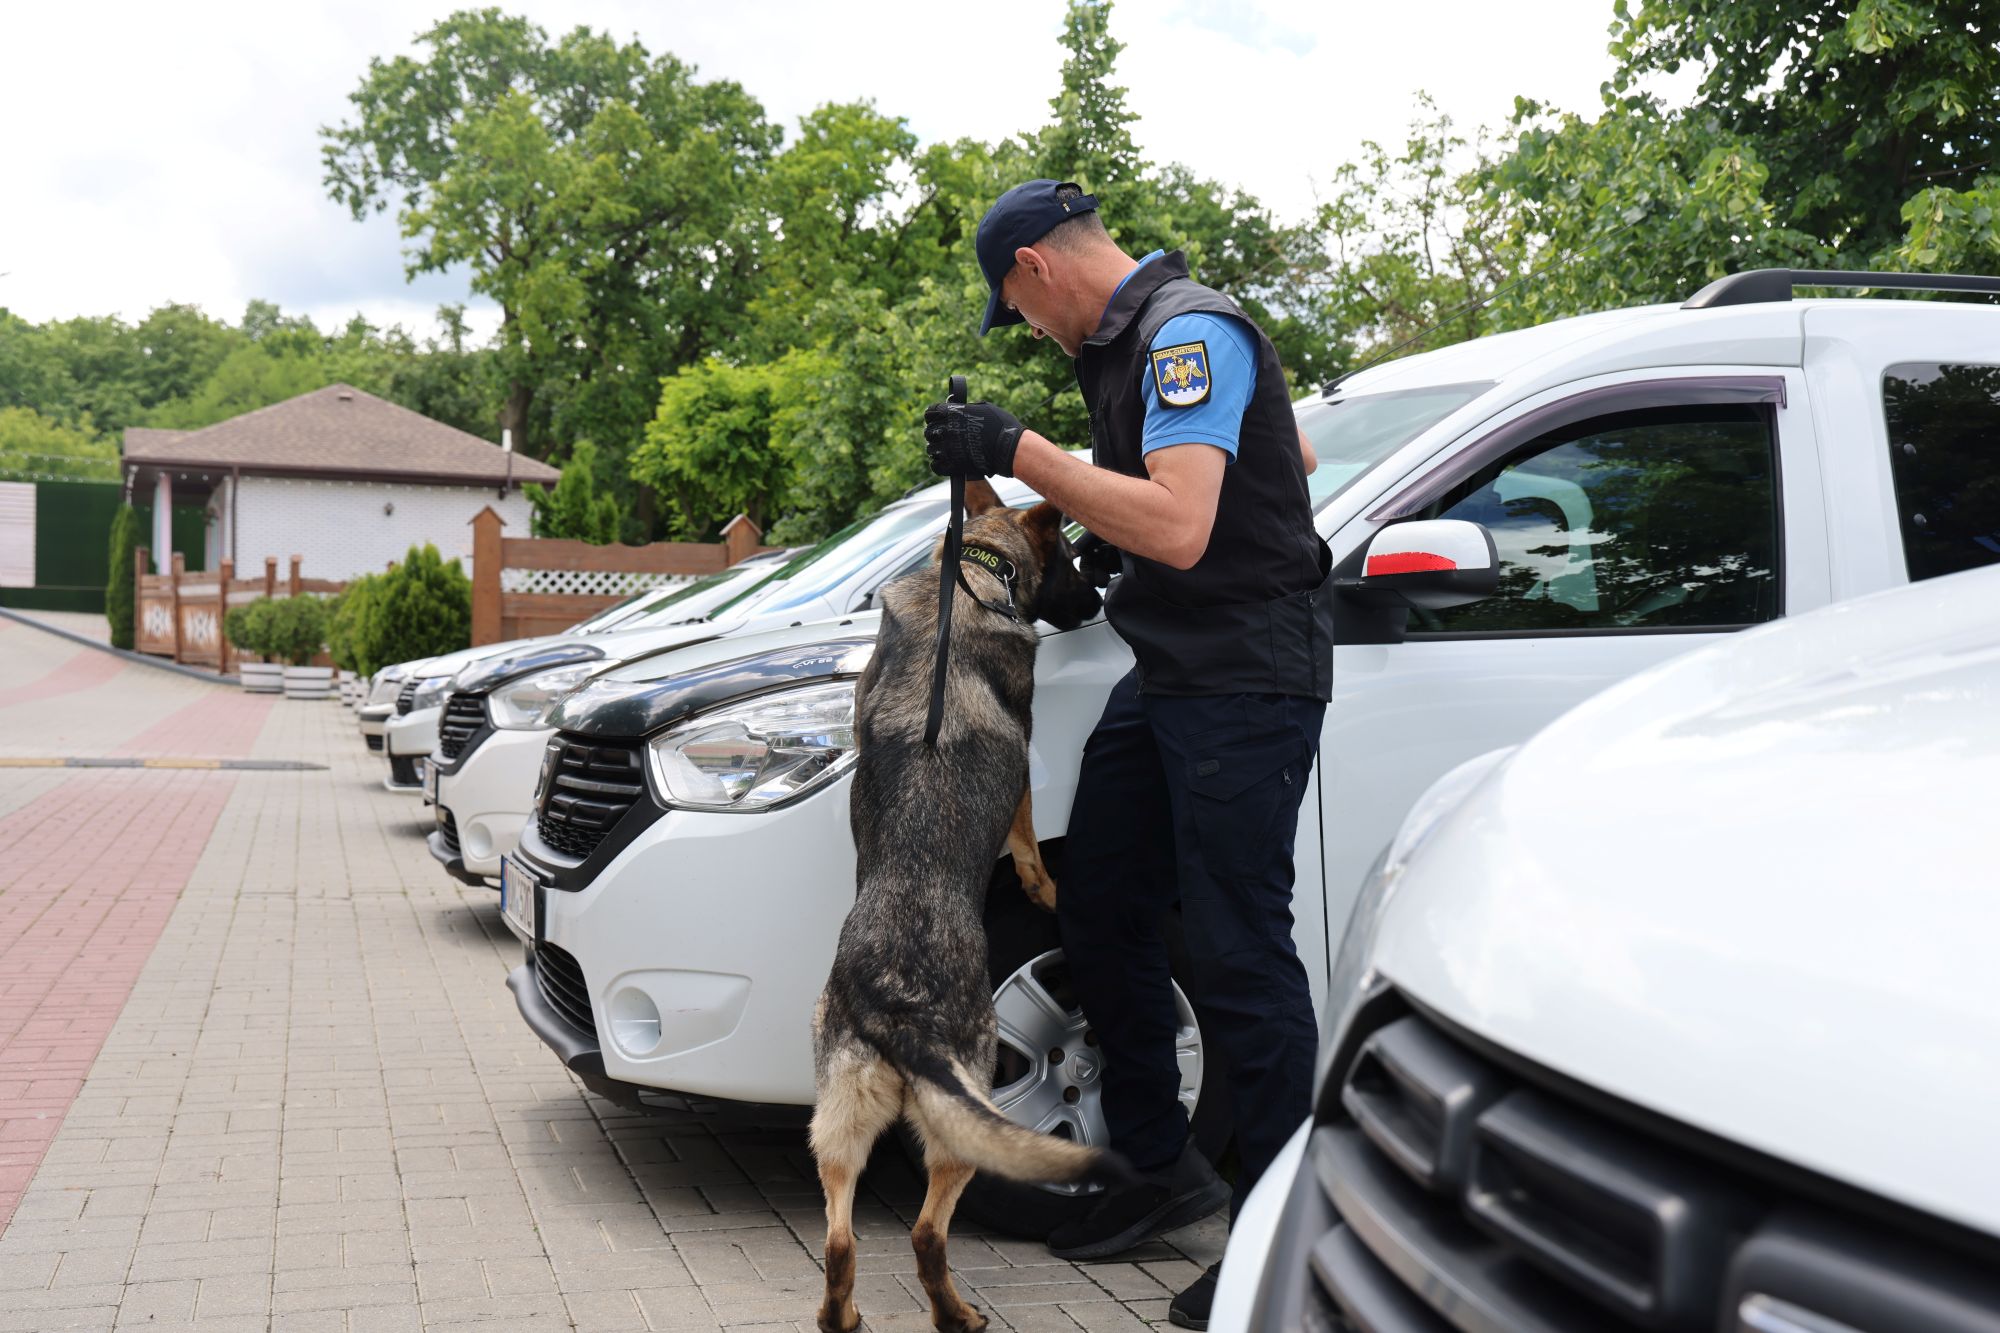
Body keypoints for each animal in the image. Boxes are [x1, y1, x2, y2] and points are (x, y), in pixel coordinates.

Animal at [810, 480, 1122, 1333]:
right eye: (1072, 562)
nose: (1100, 598)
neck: (975, 578)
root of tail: (894, 1008)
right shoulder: (1022, 771)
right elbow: (1027, 838)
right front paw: (1046, 884)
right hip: (961, 1118)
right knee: (924, 1232)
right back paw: (957, 1314)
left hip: (838, 1118)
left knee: (841, 1237)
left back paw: (842, 1312)